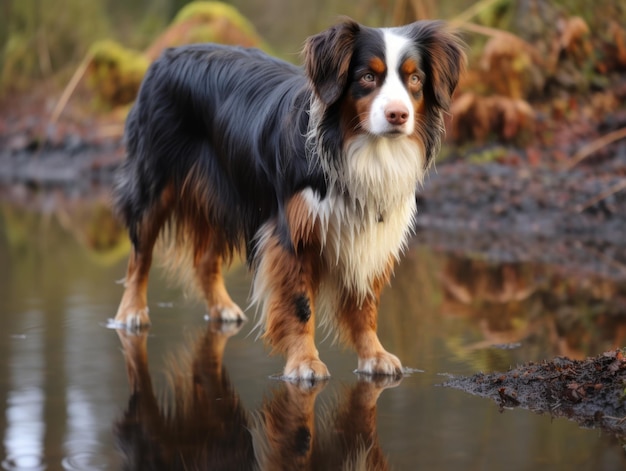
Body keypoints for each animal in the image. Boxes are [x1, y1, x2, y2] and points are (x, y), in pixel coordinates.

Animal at [112, 17, 464, 380]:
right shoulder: (293, 233)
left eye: (415, 79)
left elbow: (365, 303)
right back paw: (131, 312)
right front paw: (304, 363)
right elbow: (299, 304)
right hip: (155, 181)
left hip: (228, 194)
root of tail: (166, 55)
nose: (398, 115)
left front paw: (373, 355)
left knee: (205, 260)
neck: (360, 149)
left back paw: (221, 307)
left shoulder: (372, 234)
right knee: (140, 253)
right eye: (367, 76)